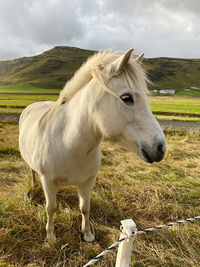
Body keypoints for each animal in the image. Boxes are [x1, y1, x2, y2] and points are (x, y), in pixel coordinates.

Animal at [18, 48, 166, 243]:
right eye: (127, 98)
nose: (160, 148)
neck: (68, 144)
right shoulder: (48, 182)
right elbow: (51, 208)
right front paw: (50, 236)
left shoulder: (88, 183)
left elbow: (85, 208)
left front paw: (87, 234)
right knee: (32, 172)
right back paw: (34, 186)